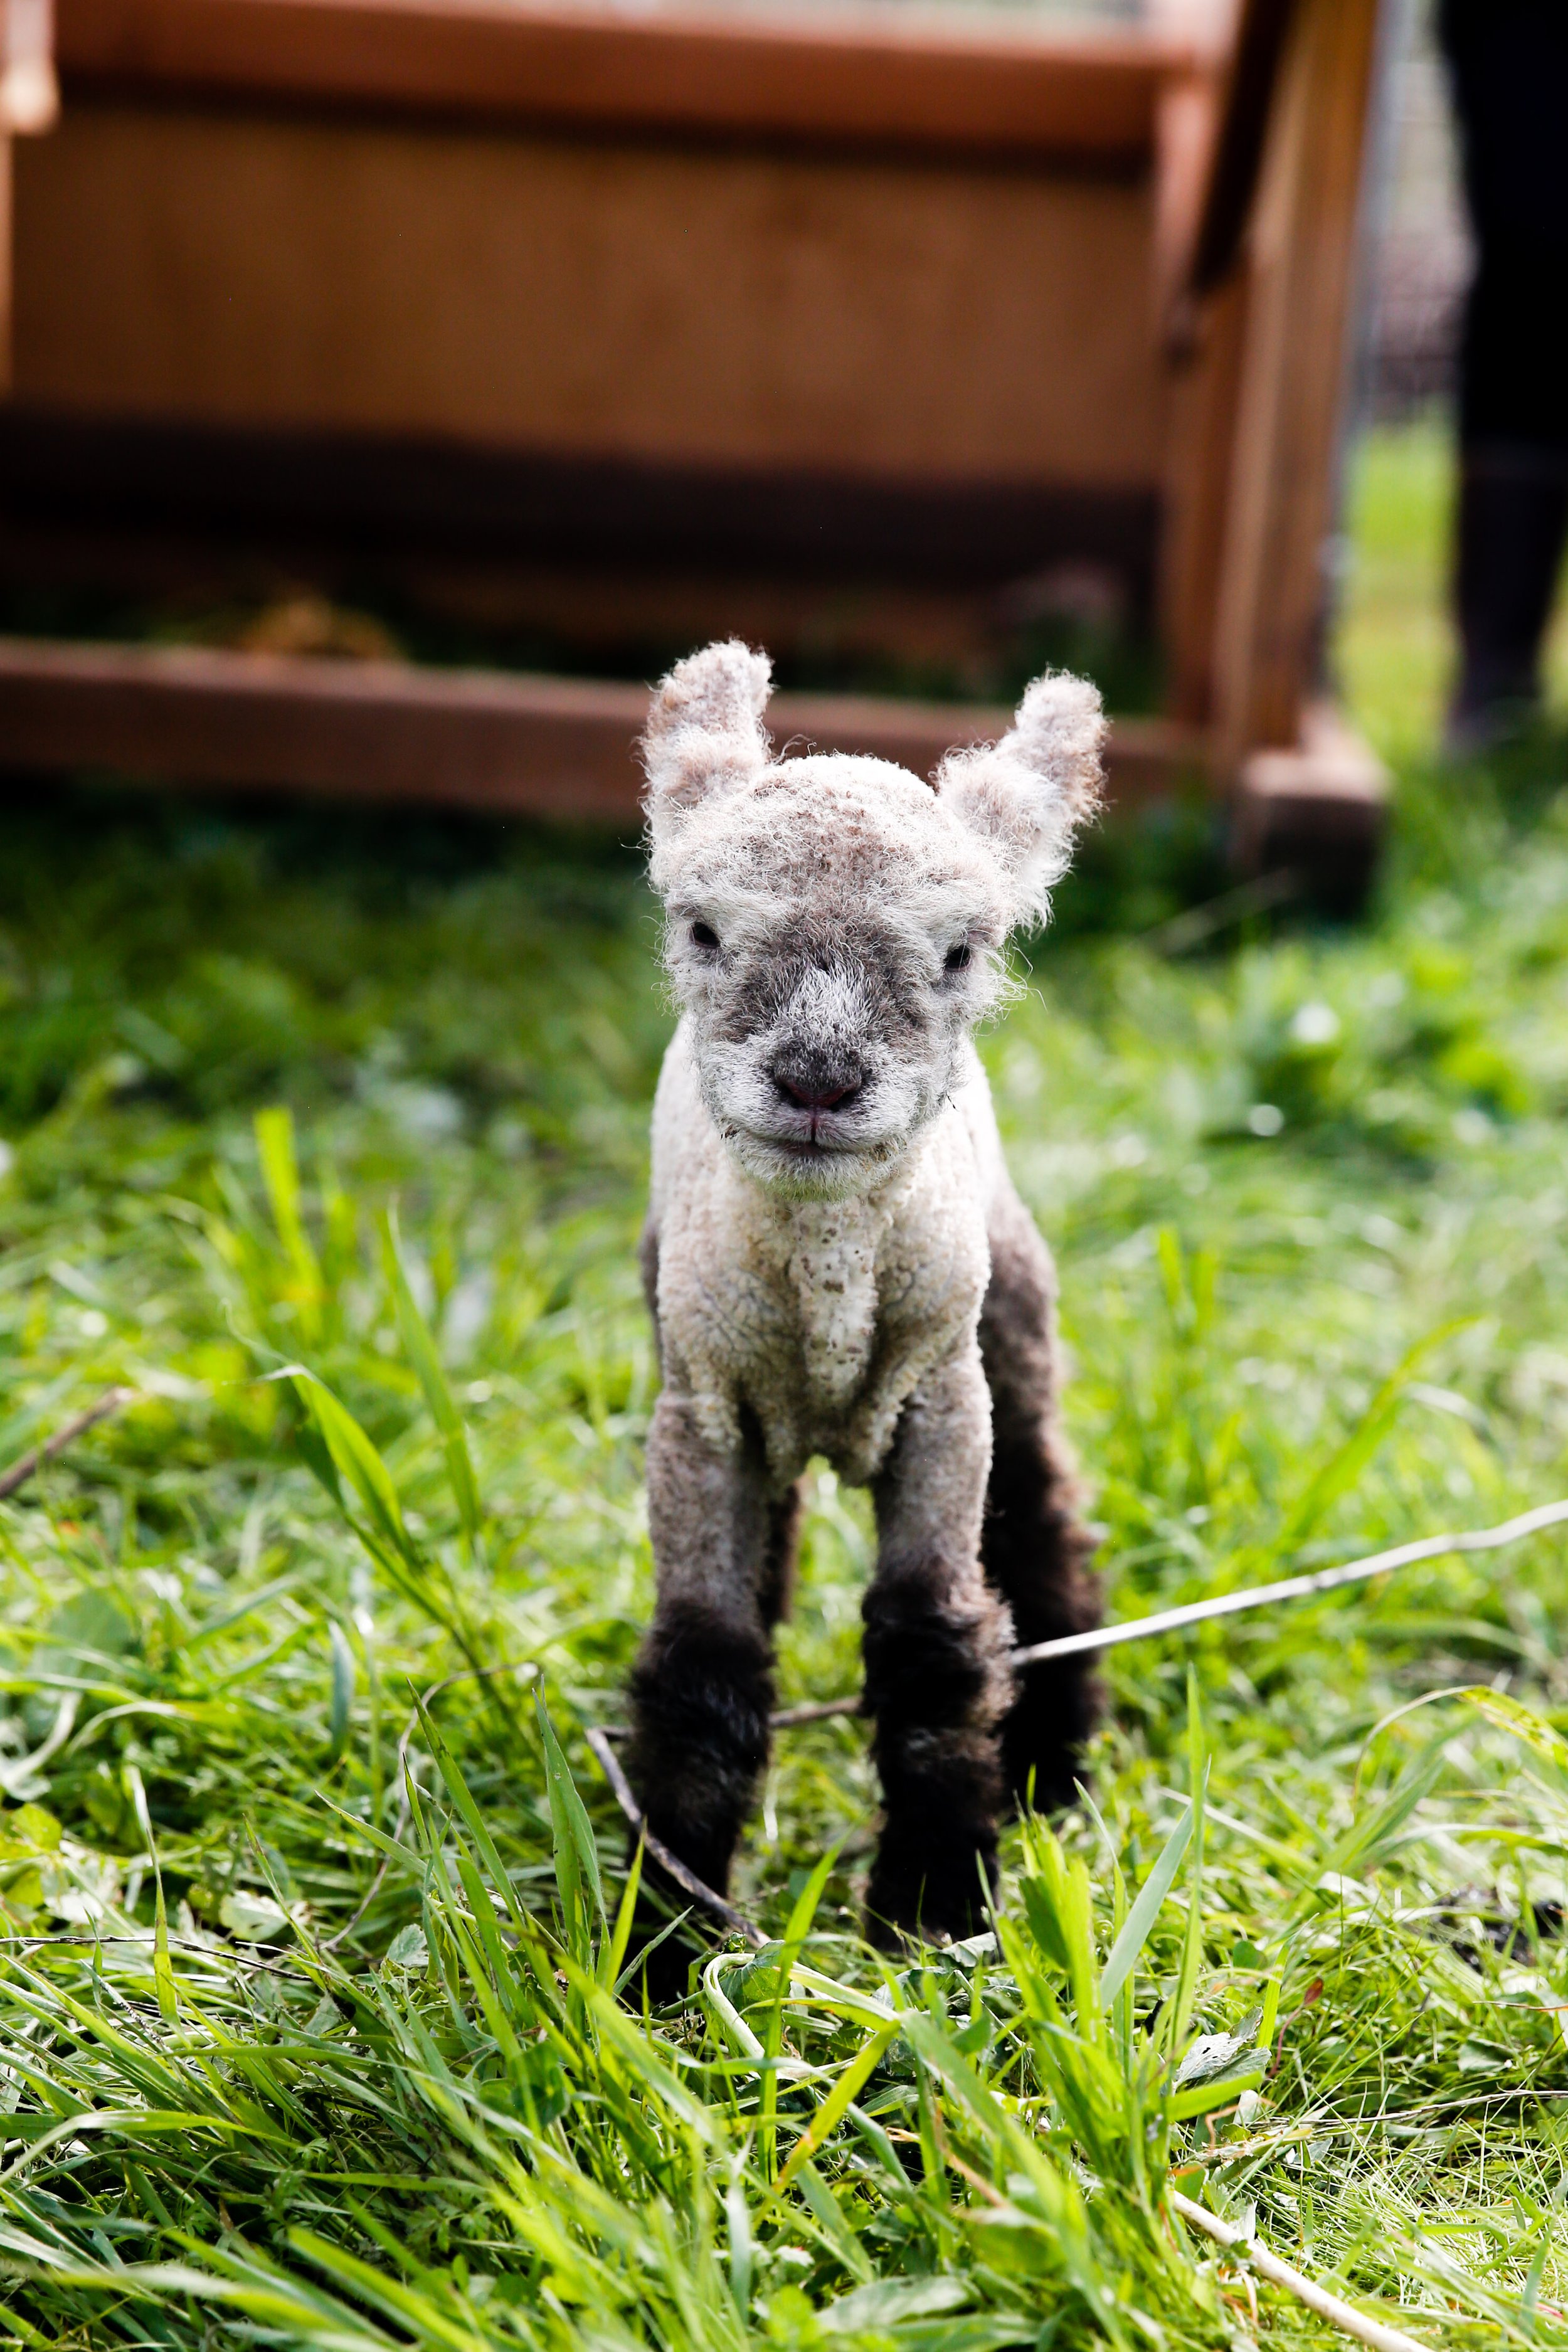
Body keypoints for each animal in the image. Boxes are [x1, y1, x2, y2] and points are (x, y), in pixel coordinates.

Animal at [625, 635, 1104, 1957]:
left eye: (960, 954)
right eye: (702, 930)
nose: (818, 1081)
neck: (831, 1286)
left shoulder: (944, 1401)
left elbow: (935, 1639)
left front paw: (933, 1910)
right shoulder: (700, 1413)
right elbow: (704, 1656)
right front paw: (664, 1934)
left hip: (1010, 1316)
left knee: (1043, 1511)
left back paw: (1056, 1755)